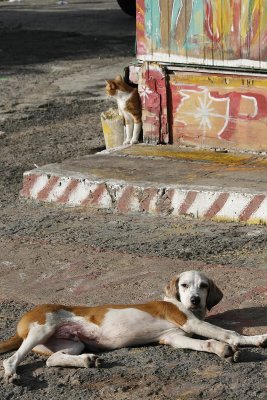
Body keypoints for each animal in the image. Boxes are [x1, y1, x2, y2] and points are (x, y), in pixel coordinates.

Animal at [1, 268, 267, 384]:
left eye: (203, 286)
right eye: (184, 285)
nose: (194, 300)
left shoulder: (175, 337)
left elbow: (209, 342)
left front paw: (222, 350)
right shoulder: (189, 321)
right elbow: (229, 333)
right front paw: (254, 339)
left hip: (72, 343)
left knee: (52, 359)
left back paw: (87, 361)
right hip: (41, 329)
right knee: (11, 359)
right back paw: (12, 374)